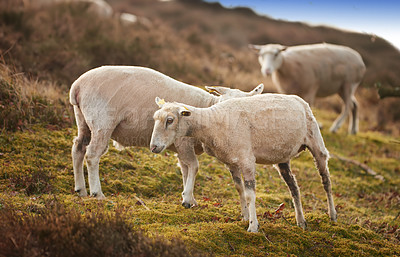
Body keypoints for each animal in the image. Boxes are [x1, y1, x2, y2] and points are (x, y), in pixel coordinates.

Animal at [69, 65, 262, 203]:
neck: (205, 108)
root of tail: (77, 86)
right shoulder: (184, 142)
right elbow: (193, 167)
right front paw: (188, 199)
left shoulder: (180, 146)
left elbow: (185, 169)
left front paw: (188, 197)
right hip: (101, 122)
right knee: (92, 155)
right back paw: (97, 193)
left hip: (84, 120)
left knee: (78, 147)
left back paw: (81, 190)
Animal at [150, 94, 338, 232]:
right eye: (155, 119)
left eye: (170, 120)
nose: (153, 147)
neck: (212, 124)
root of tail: (300, 100)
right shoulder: (231, 161)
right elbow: (239, 189)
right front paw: (245, 216)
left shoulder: (247, 159)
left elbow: (249, 194)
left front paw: (253, 226)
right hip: (283, 158)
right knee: (294, 187)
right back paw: (301, 221)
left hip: (316, 142)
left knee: (326, 181)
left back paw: (332, 215)